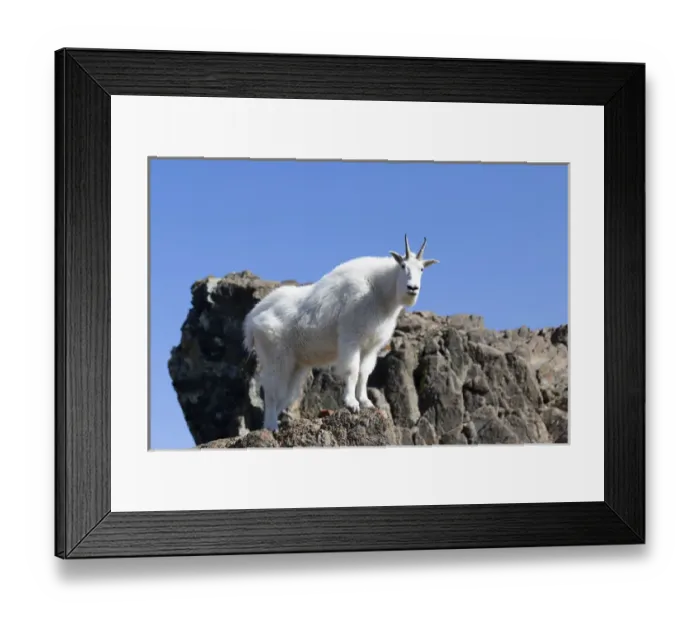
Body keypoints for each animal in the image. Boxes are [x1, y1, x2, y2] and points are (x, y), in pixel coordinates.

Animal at [243, 235, 440, 431]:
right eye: (403, 266)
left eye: (422, 269)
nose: (412, 288)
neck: (379, 292)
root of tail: (252, 319)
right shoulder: (351, 338)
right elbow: (352, 370)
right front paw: (351, 403)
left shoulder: (371, 347)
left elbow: (364, 372)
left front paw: (366, 402)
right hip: (275, 355)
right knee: (271, 390)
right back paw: (271, 427)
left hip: (296, 364)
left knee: (285, 394)